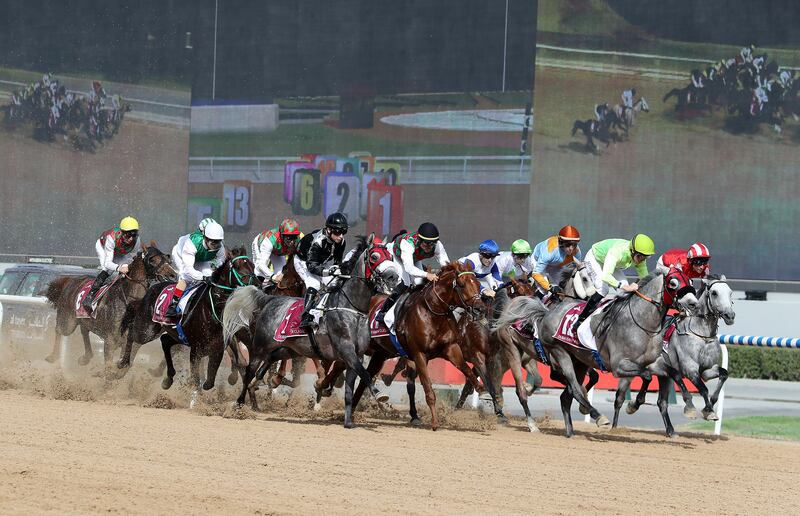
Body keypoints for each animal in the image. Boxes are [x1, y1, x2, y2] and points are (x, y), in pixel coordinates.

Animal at [43, 244, 173, 372]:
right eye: (153, 260)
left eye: (167, 259)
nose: (173, 274)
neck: (130, 301)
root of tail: (70, 280)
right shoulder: (110, 340)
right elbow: (109, 368)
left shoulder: (126, 341)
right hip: (68, 321)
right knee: (59, 329)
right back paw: (52, 356)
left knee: (84, 329)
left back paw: (86, 357)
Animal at [222, 236, 400, 430]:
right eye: (374, 256)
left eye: (391, 256)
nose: (394, 277)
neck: (351, 308)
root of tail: (270, 299)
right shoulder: (346, 350)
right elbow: (364, 373)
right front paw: (379, 395)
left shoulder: (356, 354)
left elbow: (349, 388)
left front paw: (348, 421)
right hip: (260, 346)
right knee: (249, 371)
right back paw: (239, 405)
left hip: (288, 349)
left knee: (270, 361)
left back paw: (256, 390)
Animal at [510, 264, 696, 438]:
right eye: (673, 283)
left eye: (690, 281)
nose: (693, 303)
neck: (642, 323)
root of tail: (547, 313)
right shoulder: (619, 366)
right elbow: (647, 376)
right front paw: (634, 404)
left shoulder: (653, 362)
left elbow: (673, 373)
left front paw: (690, 407)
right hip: (559, 353)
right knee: (574, 388)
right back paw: (597, 416)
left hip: (579, 362)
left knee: (566, 396)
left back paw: (571, 431)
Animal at [616, 274, 736, 436]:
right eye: (714, 293)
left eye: (730, 292)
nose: (730, 315)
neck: (702, 335)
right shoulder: (690, 370)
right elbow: (703, 388)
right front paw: (707, 411)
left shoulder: (707, 370)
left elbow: (723, 374)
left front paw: (709, 407)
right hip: (629, 369)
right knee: (619, 398)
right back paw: (615, 425)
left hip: (662, 375)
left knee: (660, 400)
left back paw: (668, 428)